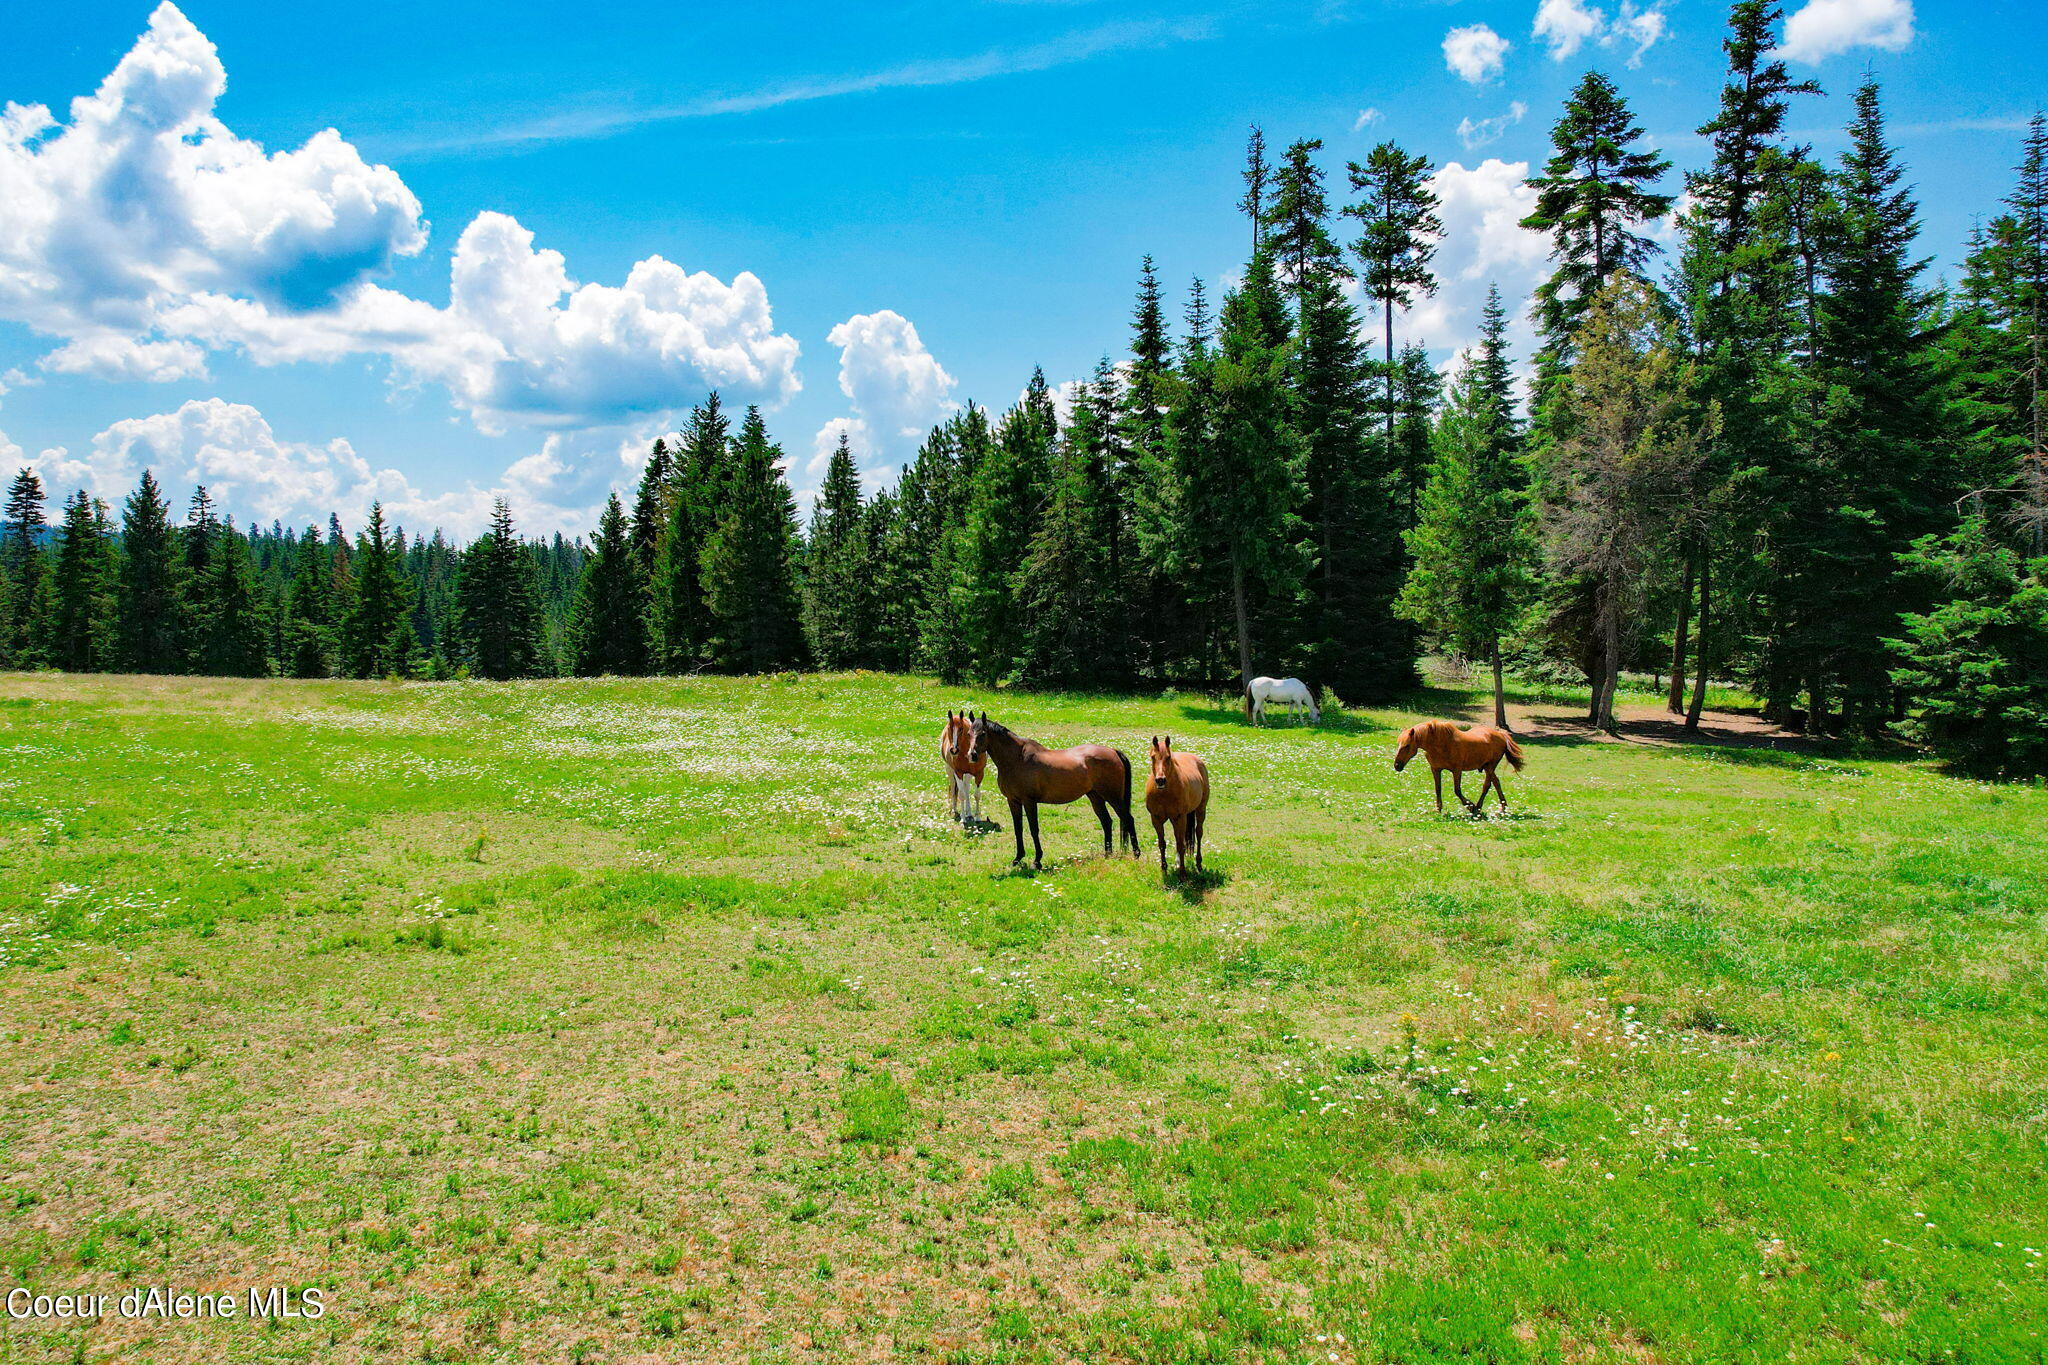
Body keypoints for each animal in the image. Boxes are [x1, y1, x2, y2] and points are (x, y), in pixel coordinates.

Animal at [966, 715, 1139, 868]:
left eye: (983, 733)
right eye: (969, 733)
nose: (971, 755)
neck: (1017, 759)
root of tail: (1113, 751)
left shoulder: (1029, 801)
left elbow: (1033, 829)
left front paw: (1037, 861)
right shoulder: (1013, 801)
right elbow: (1018, 829)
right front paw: (1018, 859)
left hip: (1113, 797)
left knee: (1128, 819)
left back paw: (1136, 854)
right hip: (1095, 797)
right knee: (1107, 822)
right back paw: (1107, 854)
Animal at [1144, 735, 1210, 880]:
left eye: (1168, 757)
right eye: (1152, 757)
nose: (1160, 780)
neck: (1164, 793)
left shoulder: (1180, 817)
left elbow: (1181, 845)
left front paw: (1183, 874)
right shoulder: (1156, 819)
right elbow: (1162, 844)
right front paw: (1164, 870)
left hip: (1200, 810)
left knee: (1198, 833)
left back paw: (1198, 864)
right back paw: (1178, 862)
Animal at [1393, 719, 1526, 815]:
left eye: (1407, 745)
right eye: (1398, 743)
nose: (1397, 765)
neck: (1440, 744)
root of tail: (1501, 734)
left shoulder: (1457, 770)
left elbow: (1457, 790)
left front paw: (1470, 806)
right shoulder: (1436, 770)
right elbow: (1438, 789)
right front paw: (1438, 809)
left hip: (1490, 766)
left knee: (1490, 784)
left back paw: (1488, 808)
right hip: (1487, 767)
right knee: (1493, 783)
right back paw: (1491, 807)